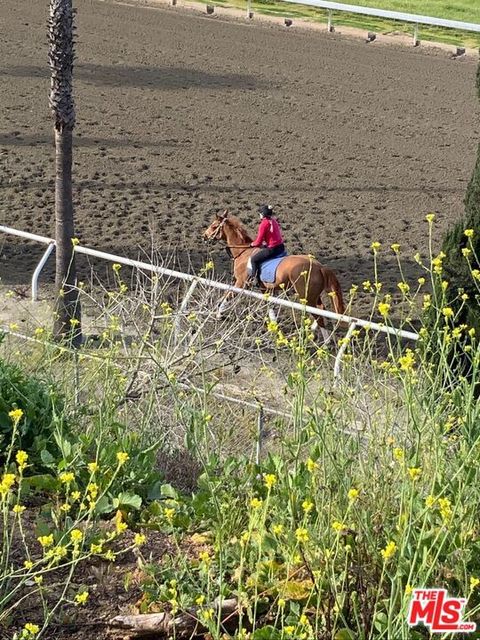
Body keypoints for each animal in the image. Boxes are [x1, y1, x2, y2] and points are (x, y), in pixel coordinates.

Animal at [202, 211, 344, 342]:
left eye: (214, 226)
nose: (204, 236)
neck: (243, 252)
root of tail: (319, 266)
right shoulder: (265, 289)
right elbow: (269, 305)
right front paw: (274, 326)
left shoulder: (240, 283)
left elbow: (227, 295)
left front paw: (219, 314)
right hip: (313, 296)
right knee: (321, 309)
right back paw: (313, 329)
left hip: (306, 296)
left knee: (318, 314)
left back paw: (326, 341)